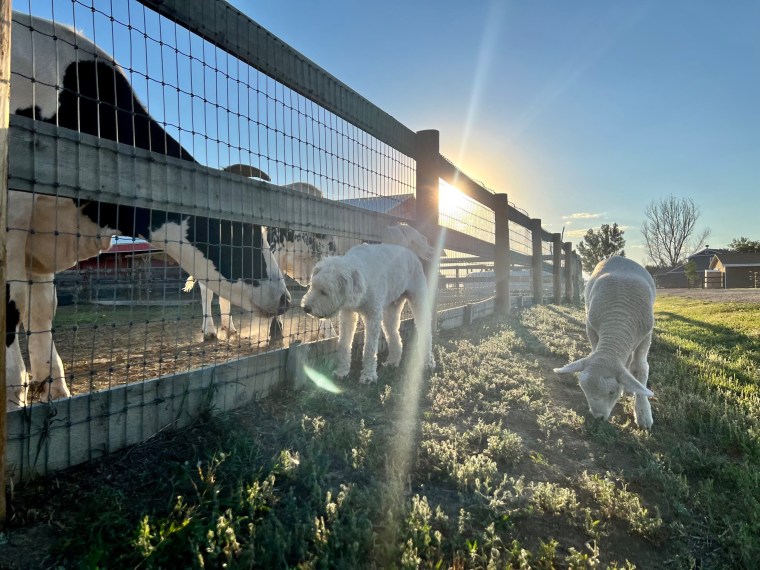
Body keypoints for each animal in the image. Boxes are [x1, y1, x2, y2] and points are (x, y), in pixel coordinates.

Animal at [5, 12, 290, 404]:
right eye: (240, 230)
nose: (286, 299)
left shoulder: (41, 236)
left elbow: (42, 308)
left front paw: (55, 390)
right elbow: (11, 307)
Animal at [302, 223, 436, 382]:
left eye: (324, 292)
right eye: (313, 286)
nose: (305, 308)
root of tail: (406, 249)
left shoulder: (373, 317)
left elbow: (369, 348)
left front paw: (368, 376)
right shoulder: (347, 315)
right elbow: (344, 344)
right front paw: (342, 372)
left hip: (418, 301)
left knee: (425, 332)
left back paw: (428, 363)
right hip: (390, 312)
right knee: (394, 336)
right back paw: (392, 362)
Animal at [548, 256, 656, 426]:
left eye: (612, 392)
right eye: (583, 390)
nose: (598, 418)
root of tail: (621, 258)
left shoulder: (646, 335)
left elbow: (640, 368)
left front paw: (643, 412)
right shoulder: (591, 328)